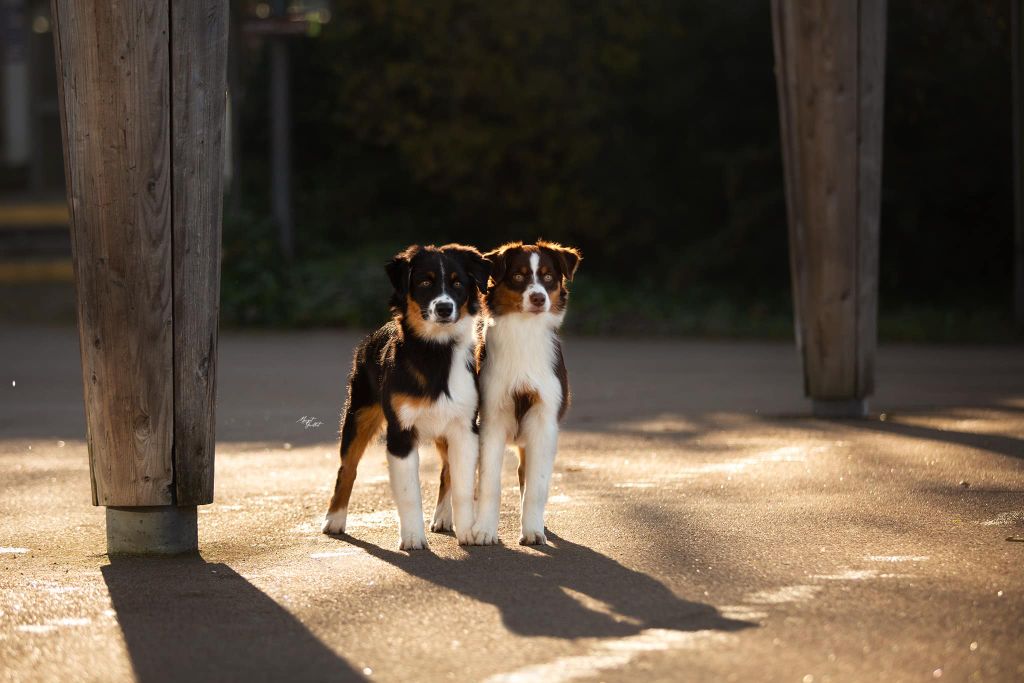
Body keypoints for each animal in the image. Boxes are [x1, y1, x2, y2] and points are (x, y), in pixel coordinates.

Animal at [321, 242, 493, 548]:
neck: (436, 353)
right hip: (359, 415)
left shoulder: (464, 428)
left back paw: (443, 517)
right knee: (347, 468)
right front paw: (413, 538)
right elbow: (409, 492)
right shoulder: (400, 432)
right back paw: (335, 520)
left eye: (457, 283)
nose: (444, 308)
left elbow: (462, 485)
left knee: (447, 469)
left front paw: (468, 533)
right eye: (424, 282)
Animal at [468, 240, 581, 544]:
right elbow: (489, 483)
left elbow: (536, 485)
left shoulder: (543, 420)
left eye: (548, 277)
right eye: (518, 276)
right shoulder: (492, 418)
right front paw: (484, 530)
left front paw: (532, 530)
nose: (539, 298)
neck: (524, 332)